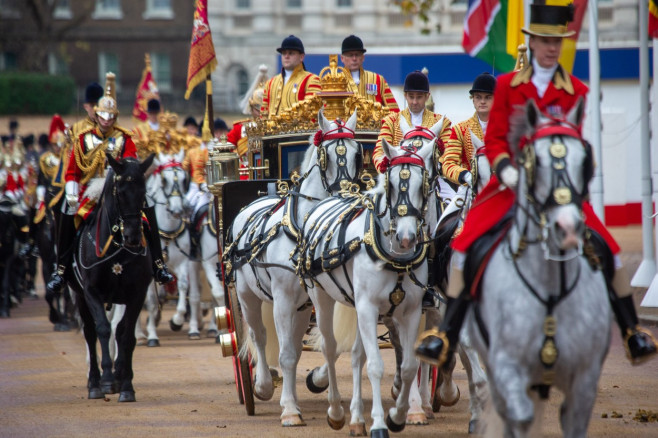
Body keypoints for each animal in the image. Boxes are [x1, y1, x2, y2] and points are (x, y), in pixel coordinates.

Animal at [66, 153, 154, 400]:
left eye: (144, 192)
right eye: (120, 192)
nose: (133, 237)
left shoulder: (136, 294)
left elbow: (125, 334)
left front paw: (125, 384)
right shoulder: (91, 292)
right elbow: (103, 329)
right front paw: (105, 380)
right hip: (79, 296)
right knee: (90, 332)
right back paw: (94, 382)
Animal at [224, 110, 358, 428]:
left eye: (358, 153)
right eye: (326, 155)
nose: (347, 193)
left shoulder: (317, 298)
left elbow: (323, 345)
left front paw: (312, 385)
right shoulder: (283, 299)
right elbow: (283, 353)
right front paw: (289, 410)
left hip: (300, 307)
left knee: (293, 348)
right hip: (248, 295)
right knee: (258, 336)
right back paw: (262, 385)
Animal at [298, 122, 436, 438]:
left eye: (423, 185)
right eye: (391, 184)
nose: (406, 237)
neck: (395, 258)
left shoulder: (411, 311)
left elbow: (408, 366)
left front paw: (398, 416)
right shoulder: (369, 308)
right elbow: (375, 365)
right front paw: (380, 424)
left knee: (355, 355)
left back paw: (356, 419)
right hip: (322, 298)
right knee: (330, 348)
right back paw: (336, 412)